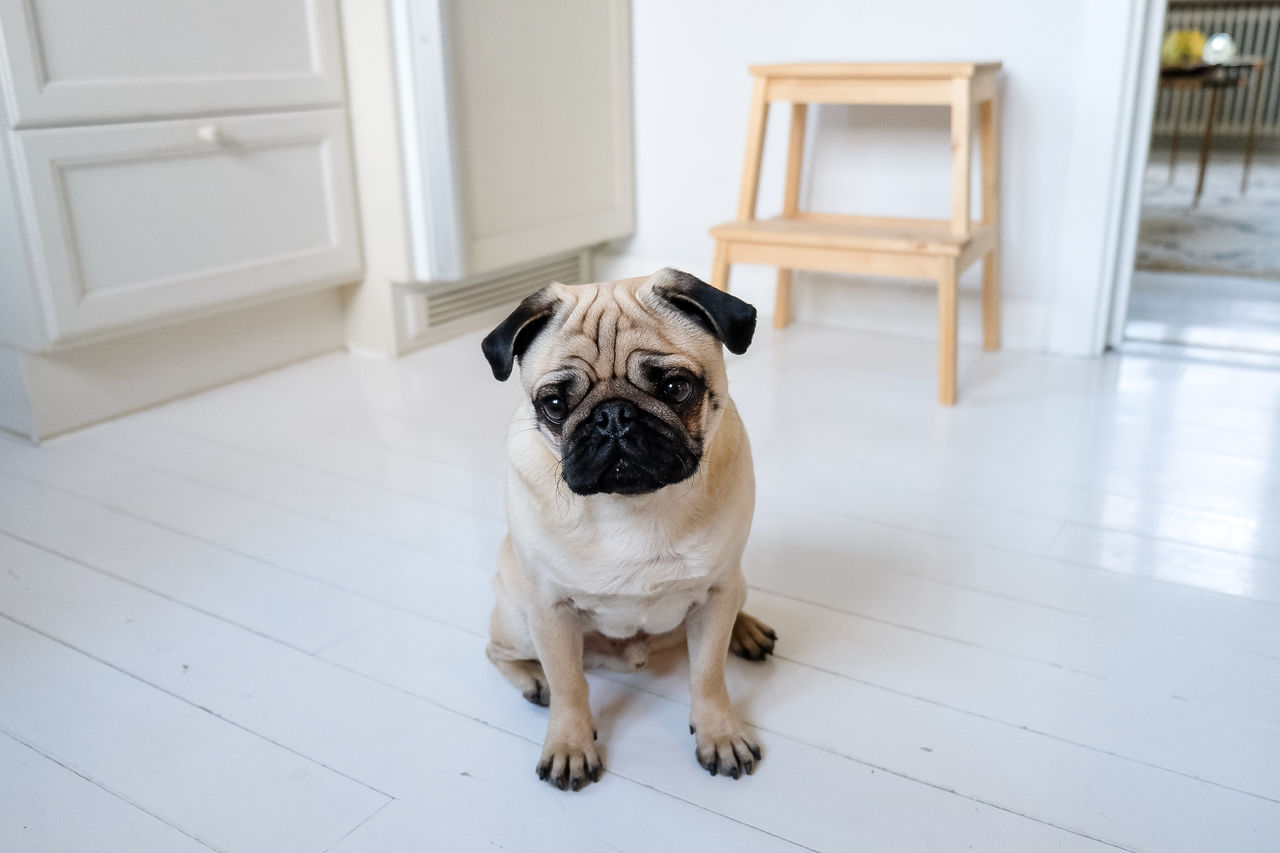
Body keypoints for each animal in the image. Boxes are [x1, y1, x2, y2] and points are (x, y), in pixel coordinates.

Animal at [483, 267, 773, 788]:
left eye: (676, 387)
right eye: (554, 403)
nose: (613, 415)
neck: (633, 504)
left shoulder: (718, 592)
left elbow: (707, 675)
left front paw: (719, 733)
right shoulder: (549, 611)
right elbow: (569, 685)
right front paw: (569, 744)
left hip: (732, 585)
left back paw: (746, 630)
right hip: (518, 616)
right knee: (498, 652)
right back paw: (533, 680)